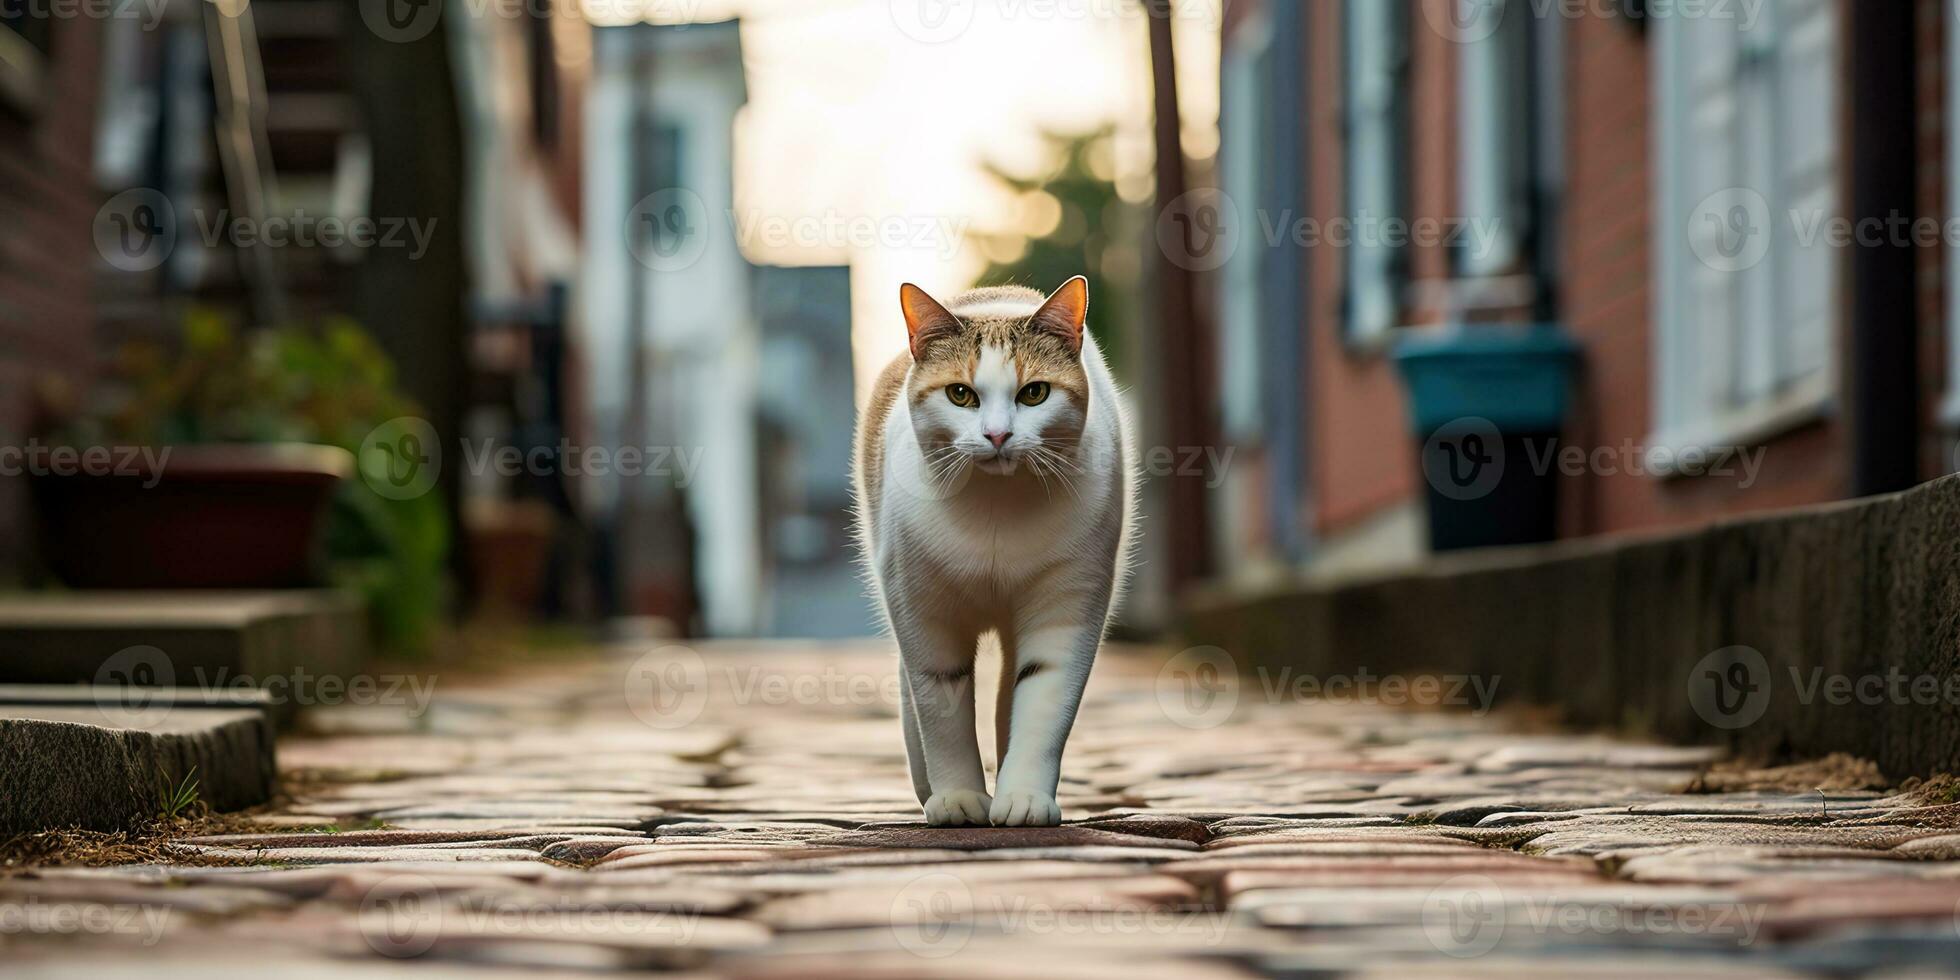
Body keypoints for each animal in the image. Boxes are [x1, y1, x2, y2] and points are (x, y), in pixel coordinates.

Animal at [854, 276, 1136, 827]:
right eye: (960, 394)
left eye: (1035, 393)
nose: (998, 434)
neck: (995, 511)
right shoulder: (924, 613)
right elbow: (940, 710)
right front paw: (958, 798)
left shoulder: (1068, 606)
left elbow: (1042, 700)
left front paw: (1024, 797)